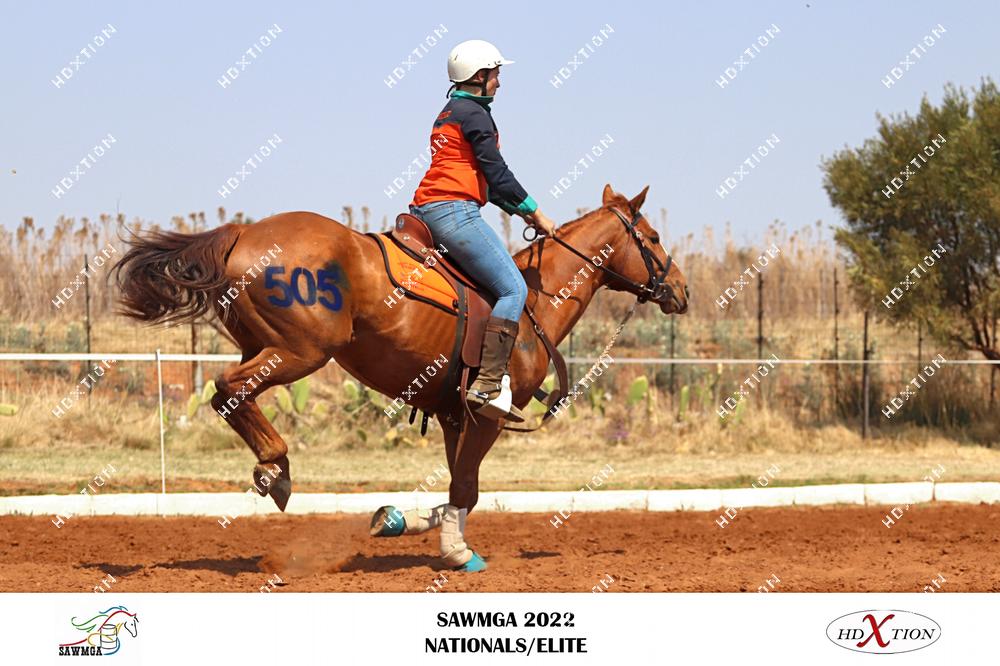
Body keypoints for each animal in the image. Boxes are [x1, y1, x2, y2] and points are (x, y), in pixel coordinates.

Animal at [112, 184, 688, 571]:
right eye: (654, 236)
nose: (681, 290)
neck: (533, 303)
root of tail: (243, 234)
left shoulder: (455, 417)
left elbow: (459, 490)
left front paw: (401, 521)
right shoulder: (488, 416)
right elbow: (467, 488)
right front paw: (457, 553)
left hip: (264, 345)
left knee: (231, 394)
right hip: (301, 351)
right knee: (226, 390)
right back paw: (277, 468)